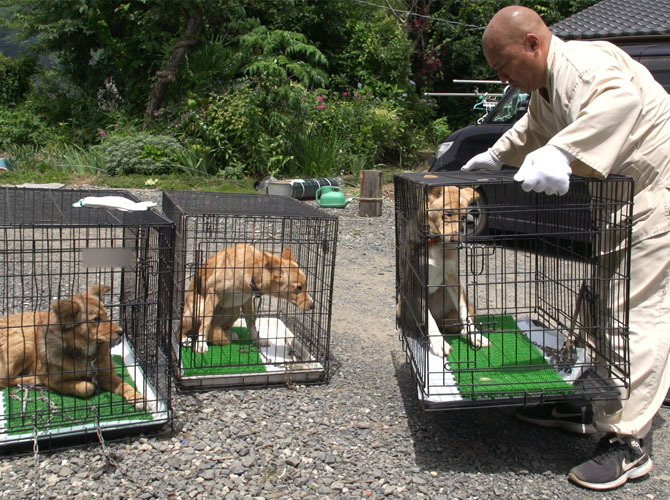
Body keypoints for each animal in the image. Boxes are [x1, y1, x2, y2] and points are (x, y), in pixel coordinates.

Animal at [0, 285, 150, 411]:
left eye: (107, 315)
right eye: (96, 319)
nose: (121, 332)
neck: (86, 354)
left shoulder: (107, 374)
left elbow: (125, 385)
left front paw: (138, 398)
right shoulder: (54, 381)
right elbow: (86, 387)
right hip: (25, 343)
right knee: (5, 380)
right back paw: (34, 380)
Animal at [180, 243, 314, 354]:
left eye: (306, 285)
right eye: (299, 287)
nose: (313, 305)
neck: (251, 271)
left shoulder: (247, 300)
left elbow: (251, 323)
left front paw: (258, 340)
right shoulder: (213, 293)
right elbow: (205, 323)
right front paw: (201, 344)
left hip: (234, 310)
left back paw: (228, 334)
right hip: (197, 307)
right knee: (182, 330)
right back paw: (185, 339)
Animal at [425, 185, 490, 357]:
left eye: (463, 217)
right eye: (448, 213)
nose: (456, 240)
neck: (435, 243)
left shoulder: (453, 279)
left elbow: (464, 313)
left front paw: (476, 337)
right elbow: (429, 321)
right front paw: (439, 343)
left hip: (468, 303)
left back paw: (462, 330)